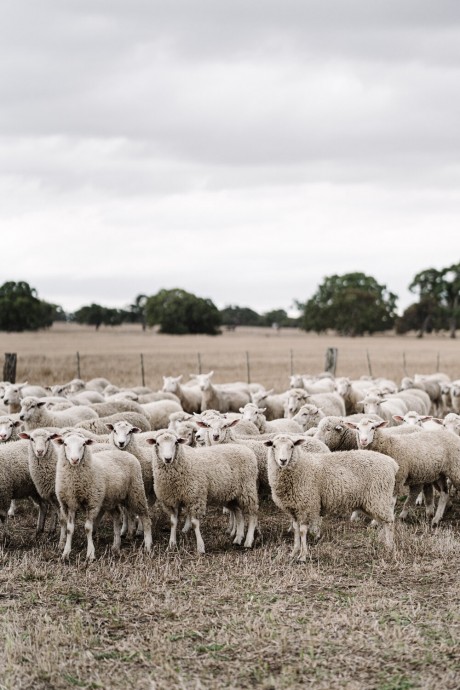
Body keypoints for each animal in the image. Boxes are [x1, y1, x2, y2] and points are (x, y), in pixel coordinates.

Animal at [53, 430, 152, 560]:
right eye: (65, 444)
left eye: (84, 444)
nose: (75, 459)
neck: (75, 481)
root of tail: (125, 453)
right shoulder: (69, 503)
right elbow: (70, 529)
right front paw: (65, 553)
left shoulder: (92, 502)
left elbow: (88, 528)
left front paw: (90, 554)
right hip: (111, 499)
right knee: (117, 517)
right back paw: (116, 546)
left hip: (136, 491)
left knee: (145, 517)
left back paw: (148, 545)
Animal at [264, 436, 398, 560]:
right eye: (274, 446)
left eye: (292, 446)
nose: (283, 460)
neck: (301, 465)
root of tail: (392, 463)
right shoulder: (293, 508)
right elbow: (296, 530)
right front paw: (293, 553)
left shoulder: (306, 505)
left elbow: (302, 531)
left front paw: (303, 556)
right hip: (374, 500)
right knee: (383, 522)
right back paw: (383, 541)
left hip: (379, 496)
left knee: (389, 522)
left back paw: (390, 547)